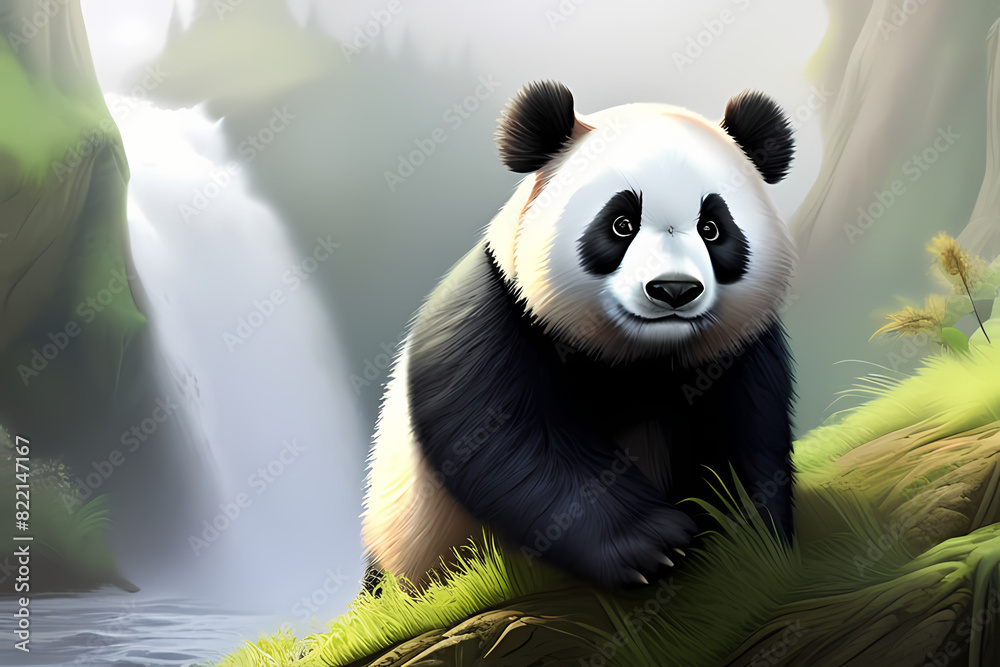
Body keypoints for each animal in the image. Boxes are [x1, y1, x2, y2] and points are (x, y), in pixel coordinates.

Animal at [362, 81, 796, 590]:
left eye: (712, 228)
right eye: (621, 224)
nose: (673, 289)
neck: (638, 356)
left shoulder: (738, 347)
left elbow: (745, 437)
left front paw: (749, 539)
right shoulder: (498, 316)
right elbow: (515, 441)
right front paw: (654, 544)